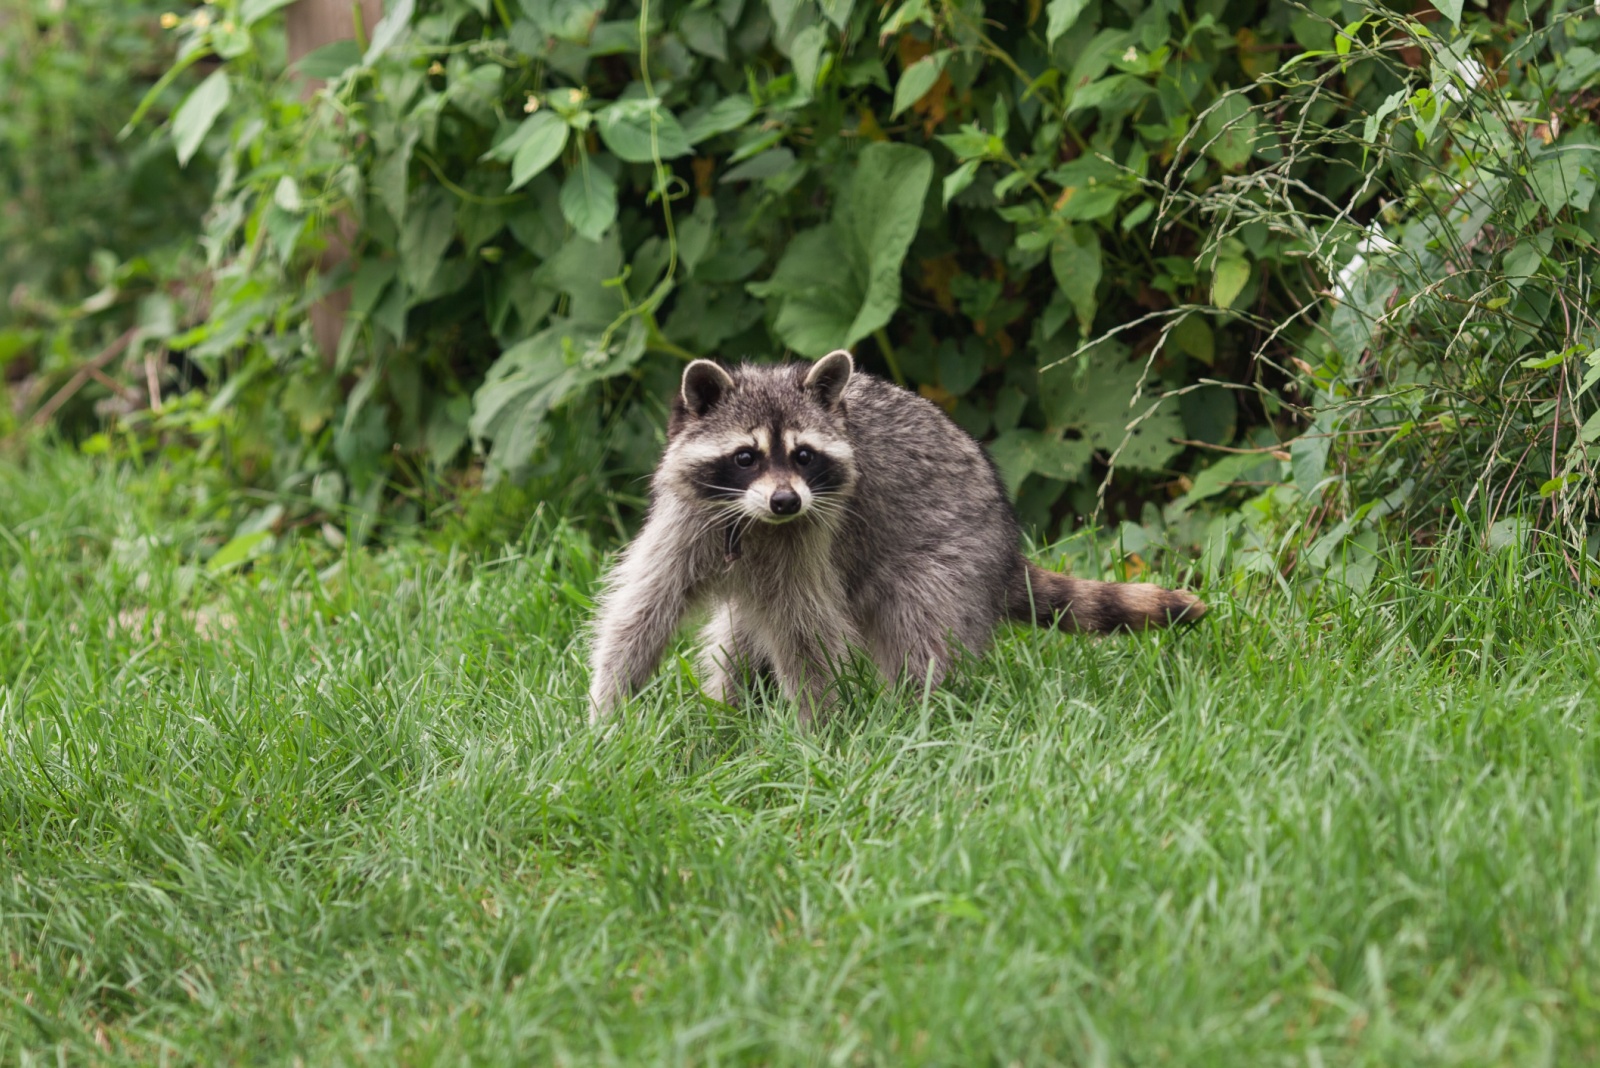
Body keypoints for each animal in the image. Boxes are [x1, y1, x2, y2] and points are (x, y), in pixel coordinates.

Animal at [586, 349, 1207, 724]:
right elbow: (641, 611)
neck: (753, 520)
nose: (786, 501)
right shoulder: (687, 524)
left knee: (921, 632)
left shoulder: (809, 541)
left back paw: (913, 717)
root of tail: (1007, 545)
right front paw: (607, 714)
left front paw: (817, 731)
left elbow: (807, 635)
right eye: (745, 456)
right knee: (740, 640)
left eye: (804, 455)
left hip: (950, 558)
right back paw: (731, 707)